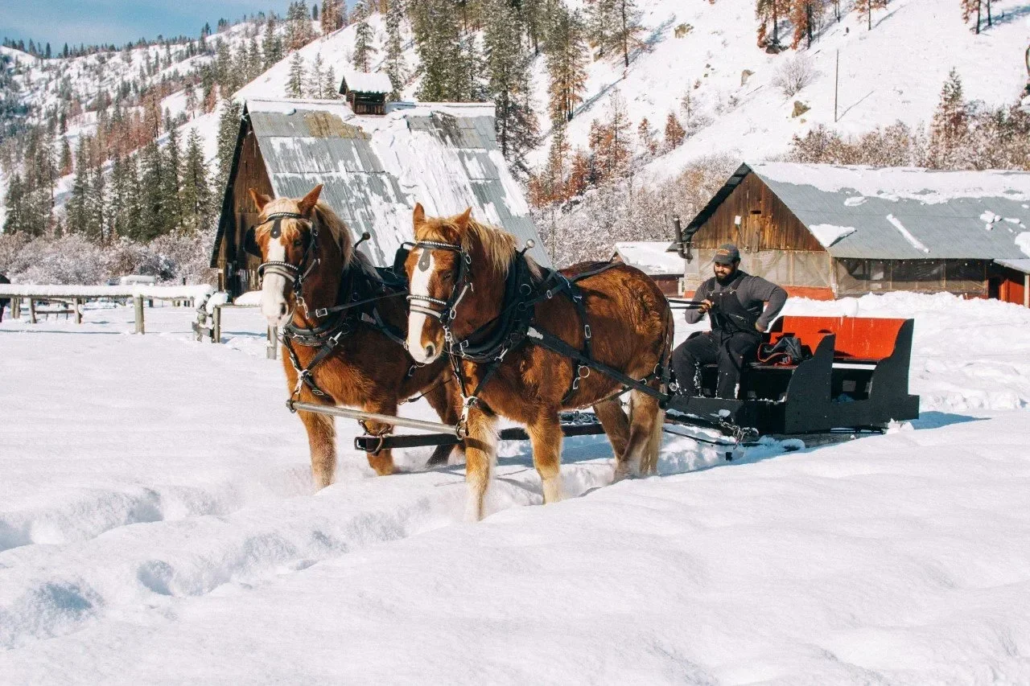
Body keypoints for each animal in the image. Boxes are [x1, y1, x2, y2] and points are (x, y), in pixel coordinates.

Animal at [245, 185, 463, 488]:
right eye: (259, 239)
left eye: (299, 240)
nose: (272, 306)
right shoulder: (313, 407)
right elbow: (322, 462)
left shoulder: (379, 403)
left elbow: (379, 460)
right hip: (436, 381)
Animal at [404, 204, 673, 521]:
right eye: (407, 268)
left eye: (447, 274)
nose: (419, 346)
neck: (515, 322)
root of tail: (652, 289)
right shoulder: (478, 412)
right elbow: (477, 477)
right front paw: (473, 523)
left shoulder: (543, 414)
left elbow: (548, 474)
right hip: (604, 392)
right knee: (622, 437)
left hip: (646, 379)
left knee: (639, 433)